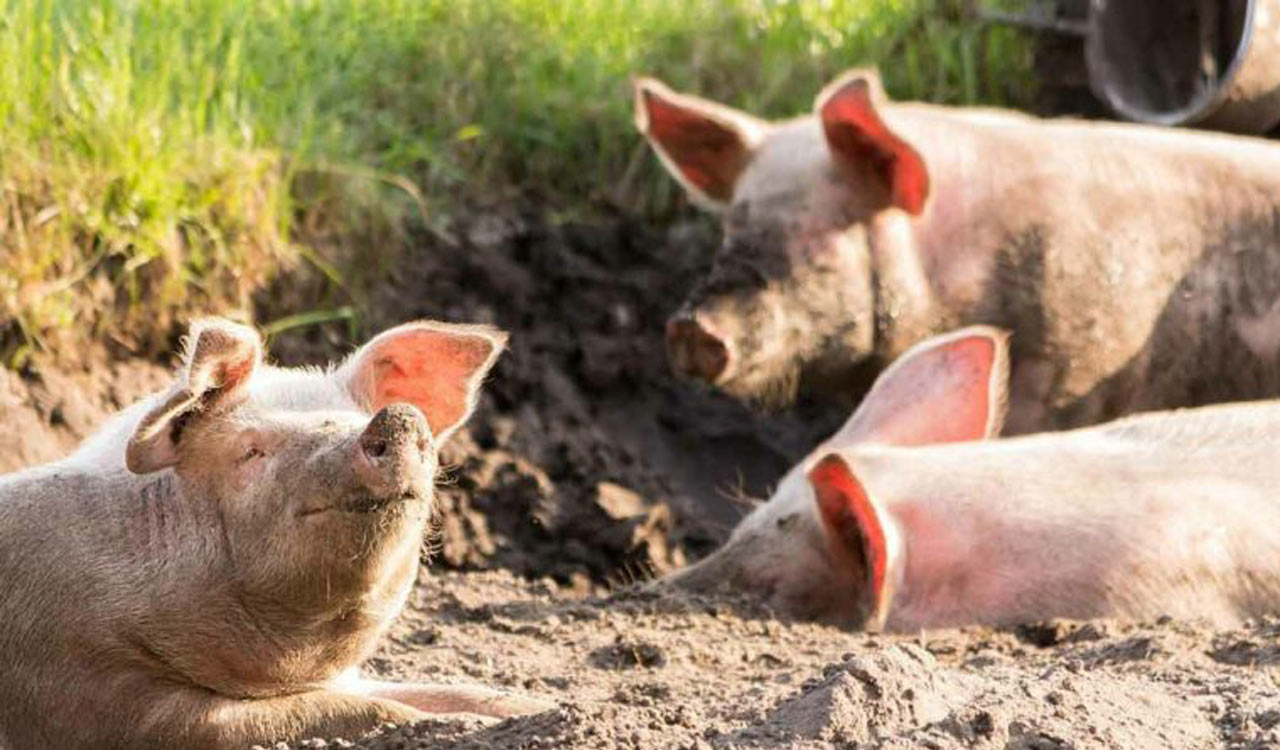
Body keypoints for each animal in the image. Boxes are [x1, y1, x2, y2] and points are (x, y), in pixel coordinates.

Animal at [0, 318, 549, 750]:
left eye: (354, 418)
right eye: (251, 451)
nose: (396, 417)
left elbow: (451, 691)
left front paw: (538, 706)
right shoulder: (95, 693)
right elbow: (350, 712)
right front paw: (464, 725)